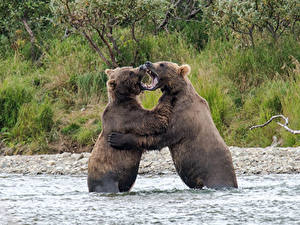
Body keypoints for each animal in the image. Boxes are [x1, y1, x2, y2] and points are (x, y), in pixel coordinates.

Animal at [108, 60, 237, 189]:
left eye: (162, 64)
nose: (148, 63)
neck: (178, 95)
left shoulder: (183, 118)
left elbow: (161, 136)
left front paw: (118, 138)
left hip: (215, 173)